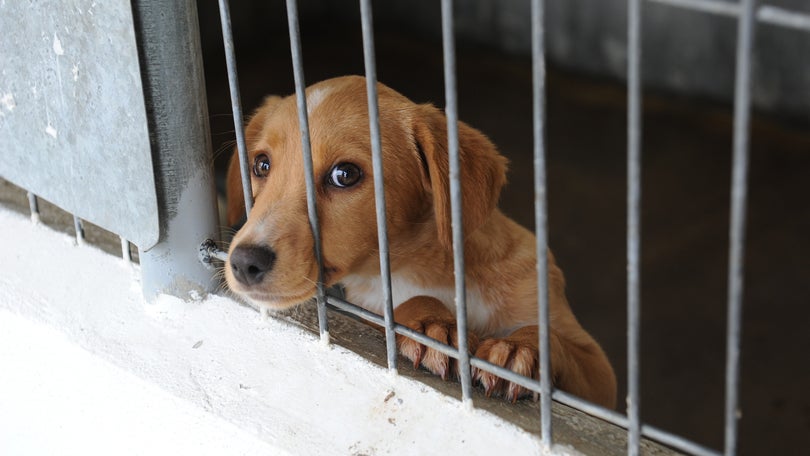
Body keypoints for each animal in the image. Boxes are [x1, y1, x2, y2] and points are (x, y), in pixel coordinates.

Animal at [224, 75, 616, 410]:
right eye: (261, 165)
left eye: (345, 174)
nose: (243, 262)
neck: (425, 267)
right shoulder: (369, 312)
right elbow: (406, 307)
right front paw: (432, 326)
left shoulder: (600, 375)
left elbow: (554, 338)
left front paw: (516, 347)